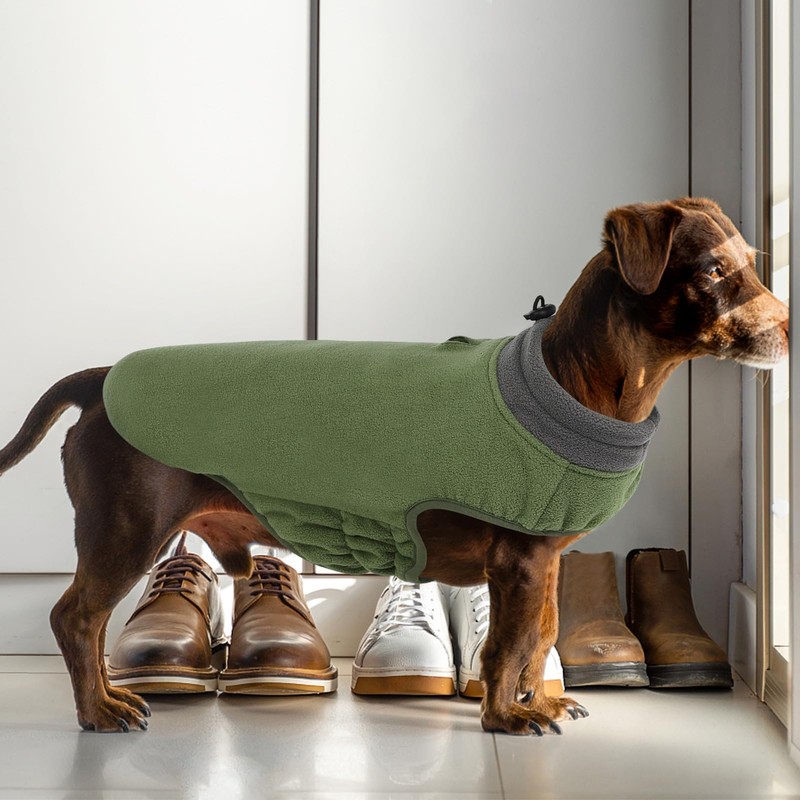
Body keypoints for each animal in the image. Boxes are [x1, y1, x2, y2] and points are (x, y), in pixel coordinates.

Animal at [0, 197, 788, 736]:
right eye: (716, 270)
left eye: (751, 261)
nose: (788, 329)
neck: (579, 380)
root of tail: (100, 378)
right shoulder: (522, 560)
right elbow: (508, 647)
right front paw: (506, 717)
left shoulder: (548, 561)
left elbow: (540, 637)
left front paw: (540, 697)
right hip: (127, 530)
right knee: (75, 618)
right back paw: (97, 708)